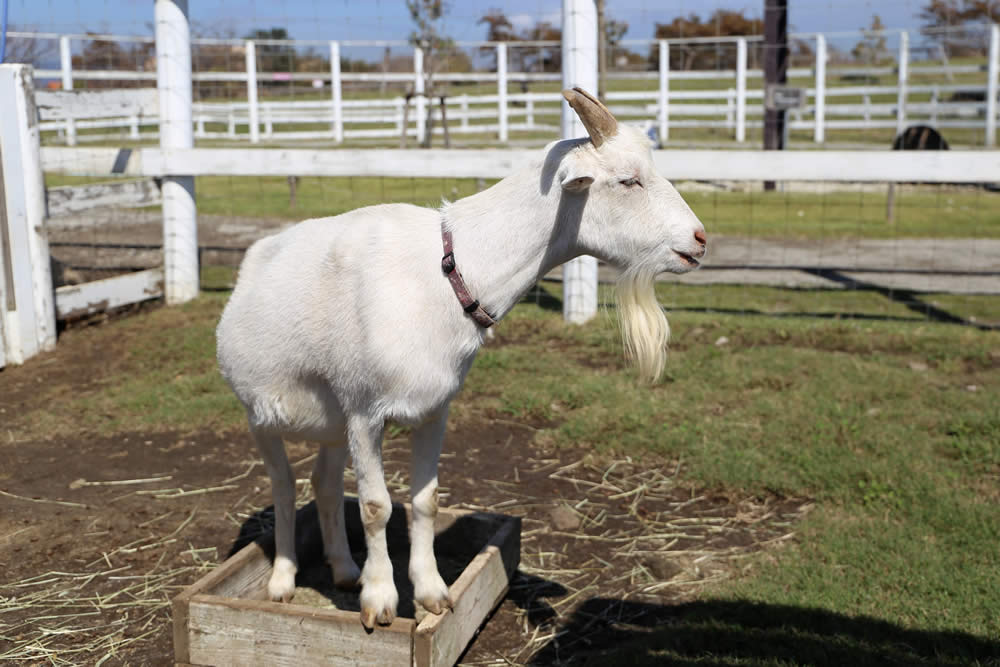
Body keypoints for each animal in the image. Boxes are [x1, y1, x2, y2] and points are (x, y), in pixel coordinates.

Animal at [216, 90, 708, 632]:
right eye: (628, 180)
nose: (699, 239)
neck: (447, 272)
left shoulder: (434, 408)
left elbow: (425, 501)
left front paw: (433, 592)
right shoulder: (365, 412)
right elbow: (374, 506)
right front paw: (380, 600)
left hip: (331, 421)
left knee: (322, 484)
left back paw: (344, 570)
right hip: (262, 414)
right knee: (283, 487)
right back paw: (283, 581)